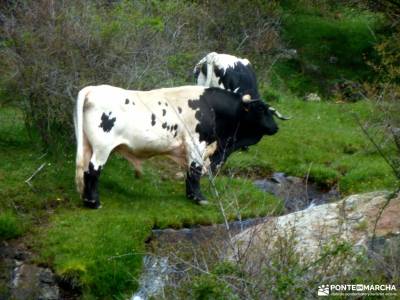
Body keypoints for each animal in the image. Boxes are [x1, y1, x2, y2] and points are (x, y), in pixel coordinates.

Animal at [75, 83, 286, 207]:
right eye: (260, 110)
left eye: (270, 110)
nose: (275, 127)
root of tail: (92, 89)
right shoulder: (197, 144)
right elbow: (195, 171)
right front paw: (199, 198)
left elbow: (189, 173)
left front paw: (191, 195)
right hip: (102, 148)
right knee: (93, 171)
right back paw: (94, 202)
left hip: (87, 145)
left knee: (85, 170)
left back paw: (87, 199)